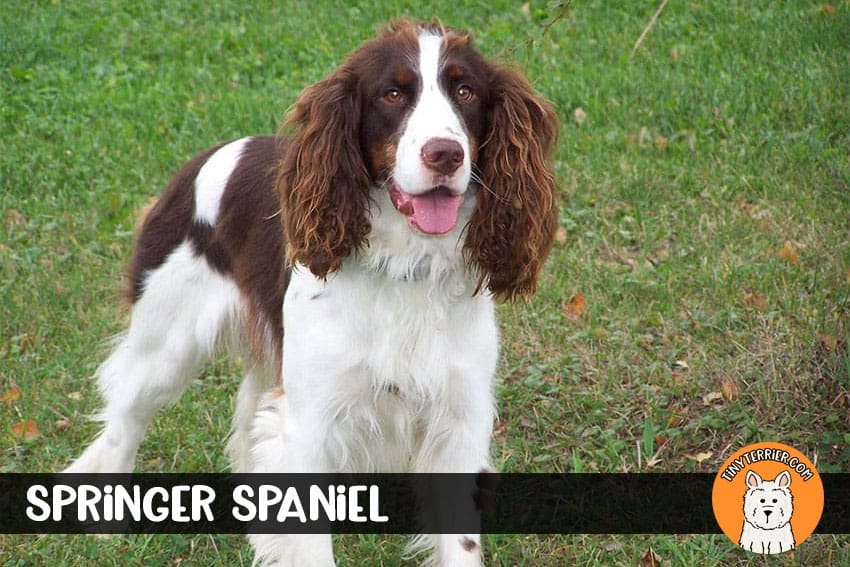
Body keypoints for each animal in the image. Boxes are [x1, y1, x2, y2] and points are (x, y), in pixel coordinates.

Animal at [63, 20, 560, 564]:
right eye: (392, 94)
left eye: (465, 91)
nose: (445, 154)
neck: (405, 266)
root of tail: (203, 159)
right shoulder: (310, 427)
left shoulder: (459, 424)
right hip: (166, 345)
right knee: (124, 417)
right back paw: (108, 525)